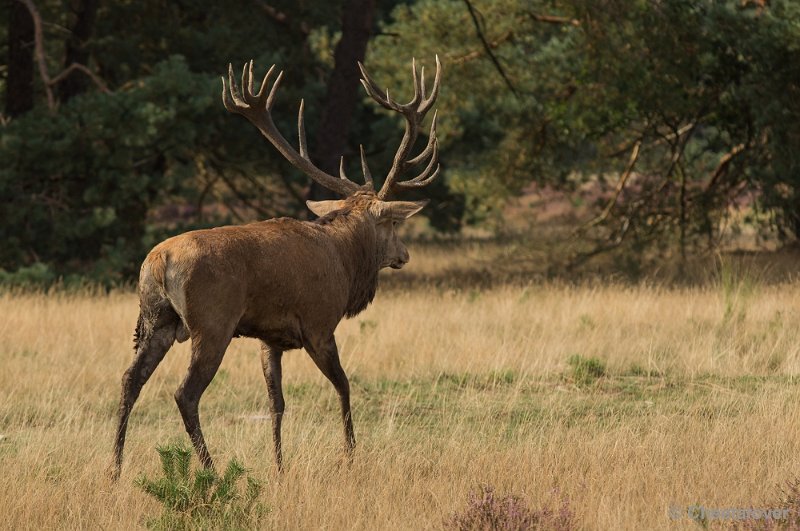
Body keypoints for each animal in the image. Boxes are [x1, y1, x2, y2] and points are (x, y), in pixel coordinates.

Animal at [109, 56, 440, 480]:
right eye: (394, 222)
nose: (404, 254)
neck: (347, 262)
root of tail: (157, 261)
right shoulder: (319, 324)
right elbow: (344, 386)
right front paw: (350, 455)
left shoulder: (270, 338)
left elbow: (275, 402)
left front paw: (279, 465)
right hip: (212, 323)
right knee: (185, 393)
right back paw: (212, 471)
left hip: (156, 320)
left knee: (130, 379)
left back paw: (115, 469)